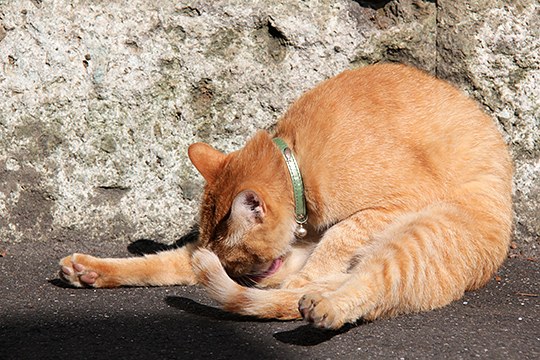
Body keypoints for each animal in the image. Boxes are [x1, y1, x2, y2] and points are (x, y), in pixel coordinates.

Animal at [61, 64, 512, 330]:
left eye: (239, 259)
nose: (243, 275)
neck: (299, 163)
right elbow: (164, 261)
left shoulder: (401, 201)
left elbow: (343, 233)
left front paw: (315, 269)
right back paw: (91, 270)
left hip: (419, 234)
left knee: (357, 284)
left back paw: (320, 302)